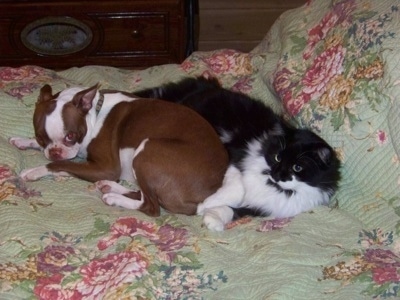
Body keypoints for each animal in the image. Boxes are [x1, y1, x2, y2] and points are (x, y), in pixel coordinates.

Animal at [9, 84, 228, 218]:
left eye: (70, 136)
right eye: (41, 138)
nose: (55, 151)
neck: (94, 114)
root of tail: (206, 196)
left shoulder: (106, 167)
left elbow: (62, 164)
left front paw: (35, 170)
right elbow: (68, 164)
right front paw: (23, 141)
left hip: (147, 149)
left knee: (151, 206)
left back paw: (114, 198)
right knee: (144, 194)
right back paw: (111, 188)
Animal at [135, 77, 340, 230]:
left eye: (297, 167)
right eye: (277, 157)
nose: (276, 174)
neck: (274, 187)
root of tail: (207, 84)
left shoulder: (261, 209)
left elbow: (235, 210)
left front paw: (212, 218)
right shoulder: (235, 160)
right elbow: (237, 191)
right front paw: (204, 205)